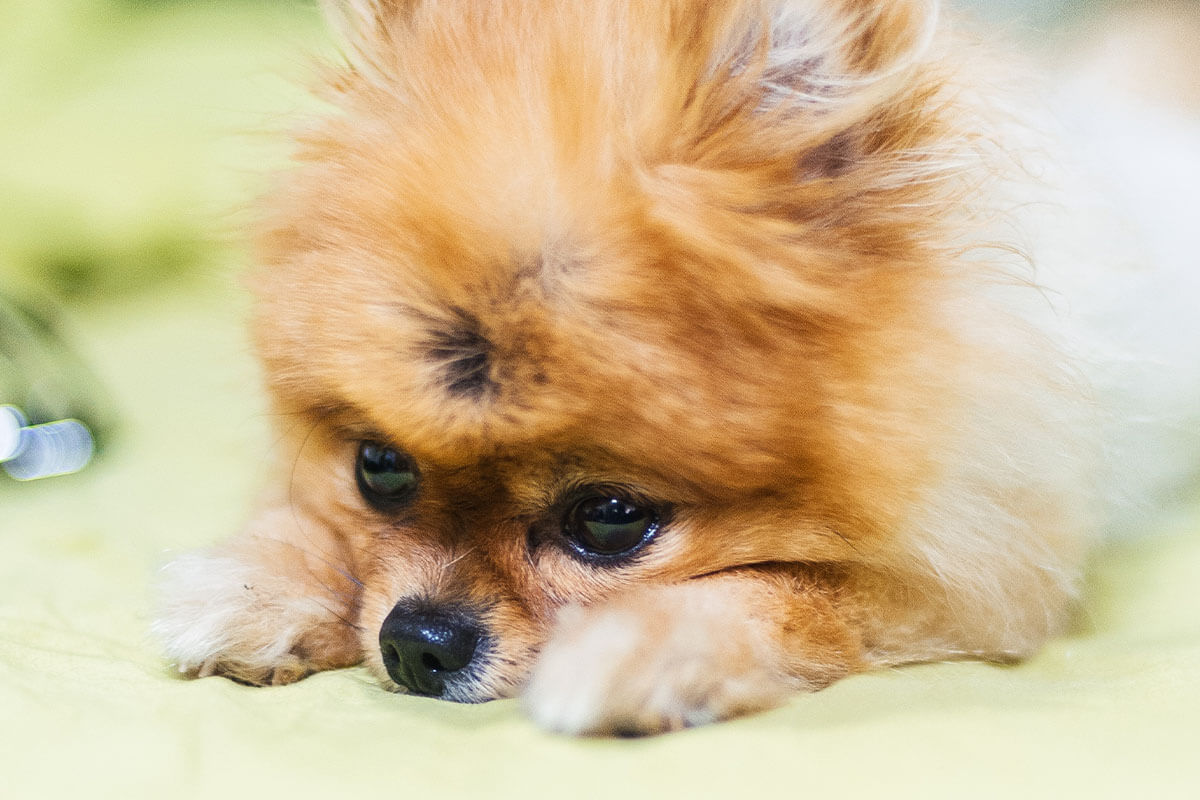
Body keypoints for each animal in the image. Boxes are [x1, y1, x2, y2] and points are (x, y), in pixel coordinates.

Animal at [154, 0, 1200, 734]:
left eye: (611, 520)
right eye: (379, 469)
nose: (417, 643)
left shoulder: (974, 580)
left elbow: (789, 594)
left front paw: (642, 651)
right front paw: (257, 580)